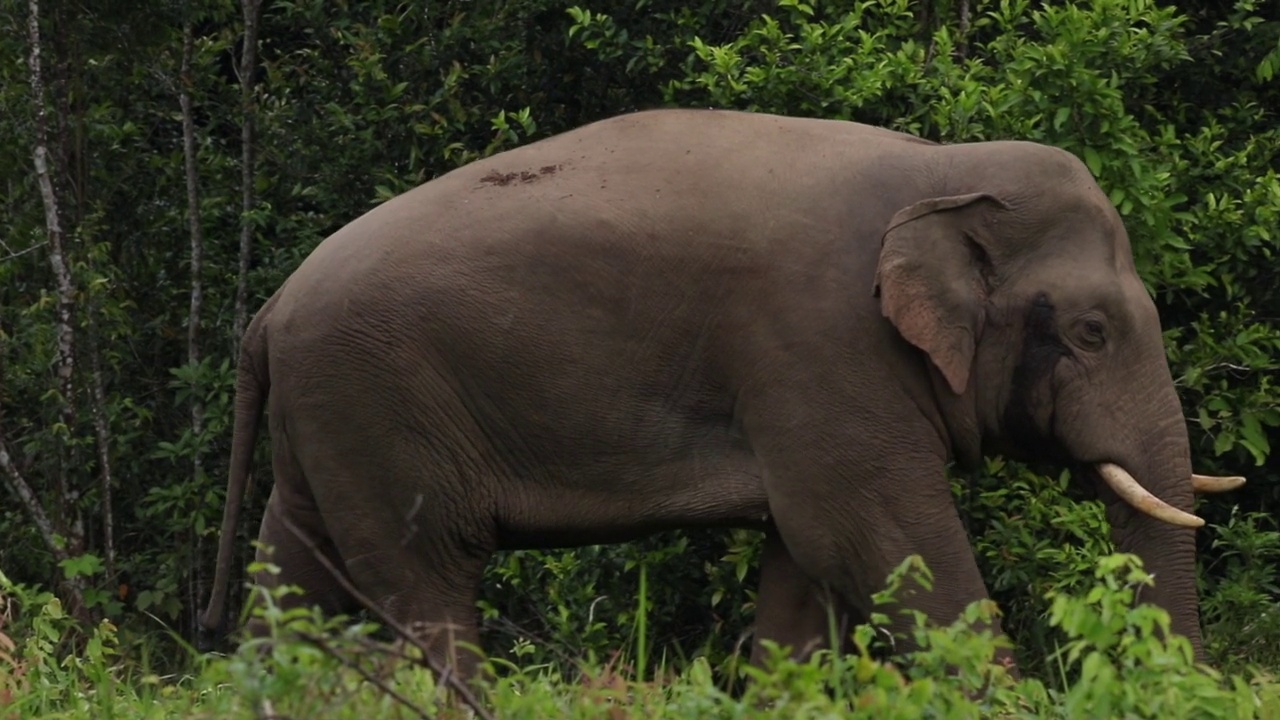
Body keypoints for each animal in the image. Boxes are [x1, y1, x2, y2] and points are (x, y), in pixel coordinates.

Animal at [199, 107, 1239, 676]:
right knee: (425, 581)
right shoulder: (820, 345)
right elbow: (878, 537)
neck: (940, 167)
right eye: (1091, 333)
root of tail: (268, 311)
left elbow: (806, 568)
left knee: (295, 575)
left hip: (330, 415)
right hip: (377, 402)